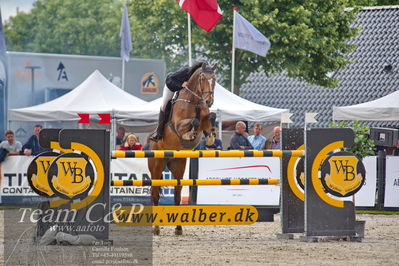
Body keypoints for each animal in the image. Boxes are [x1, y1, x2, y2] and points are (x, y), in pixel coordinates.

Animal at [148, 61, 217, 235]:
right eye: (202, 78)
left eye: (214, 79)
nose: (209, 101)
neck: (194, 100)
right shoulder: (178, 125)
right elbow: (194, 122)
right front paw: (190, 134)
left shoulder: (206, 117)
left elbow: (210, 117)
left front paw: (211, 135)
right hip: (157, 168)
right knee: (155, 195)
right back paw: (155, 228)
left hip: (178, 166)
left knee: (177, 195)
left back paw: (178, 228)